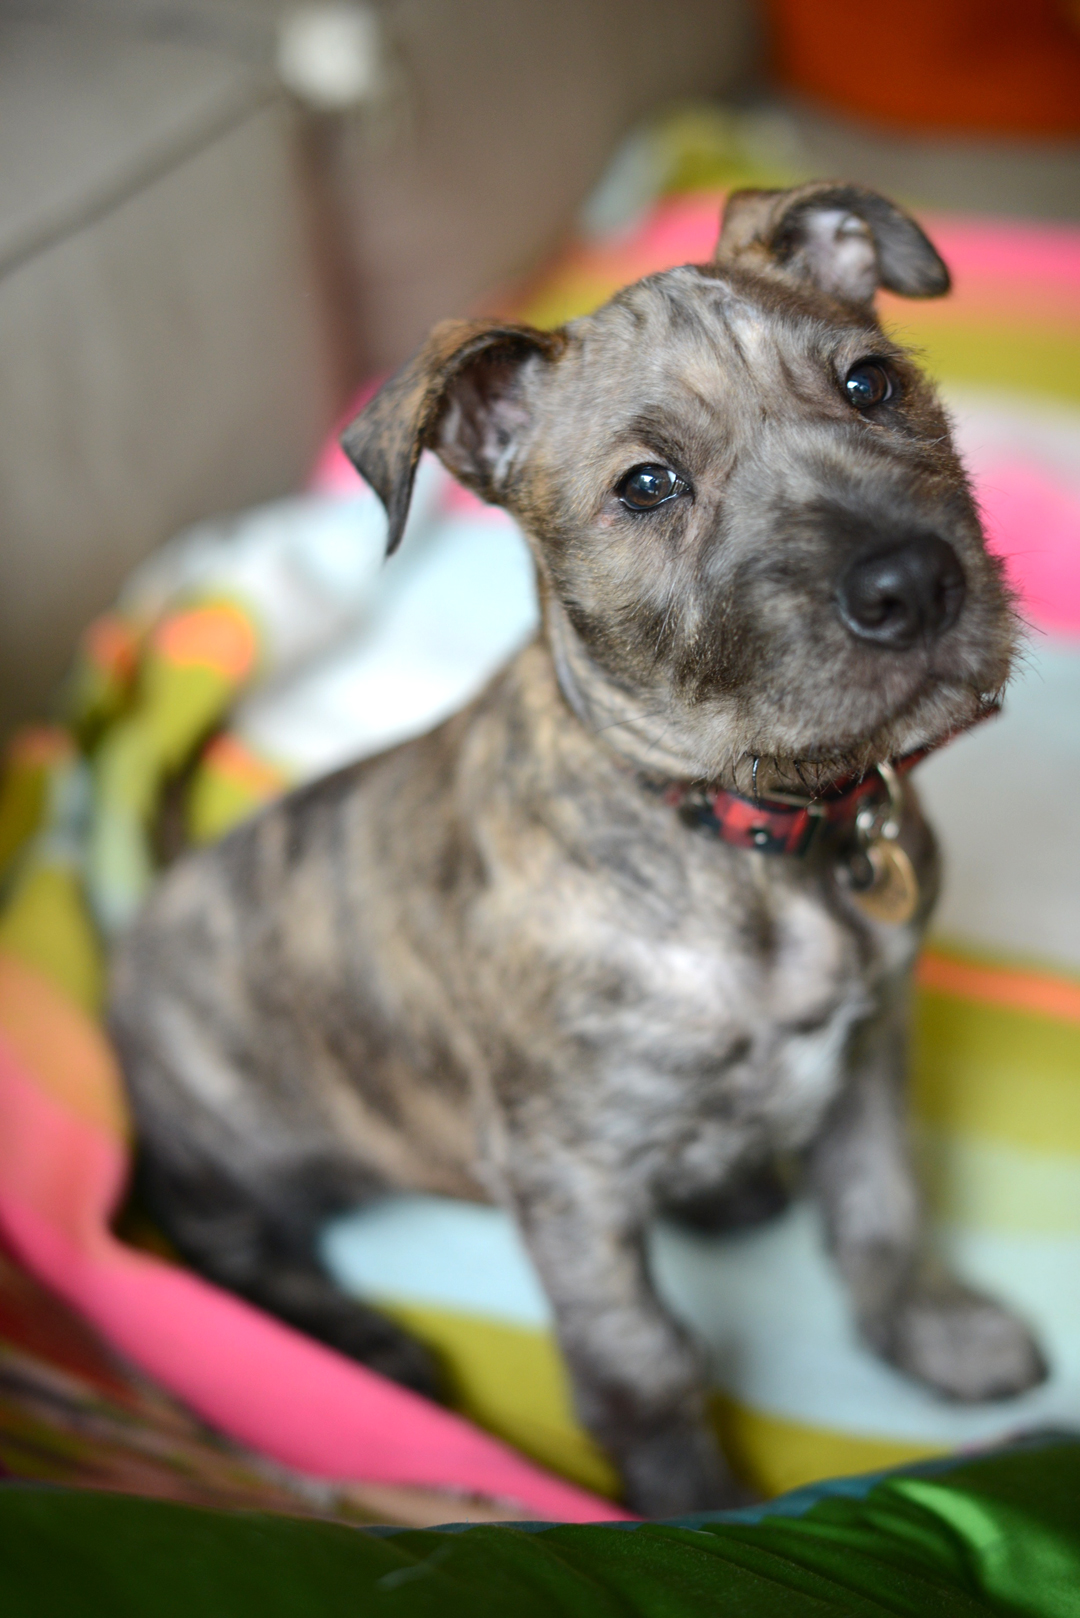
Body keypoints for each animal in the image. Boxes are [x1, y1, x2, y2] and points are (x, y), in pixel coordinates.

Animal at [110, 189, 1049, 1514]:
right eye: (647, 485)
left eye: (870, 384)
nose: (913, 582)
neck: (750, 838)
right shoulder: (570, 1174)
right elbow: (643, 1361)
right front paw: (693, 1509)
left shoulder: (870, 1053)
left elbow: (880, 1215)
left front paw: (938, 1341)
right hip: (220, 1146)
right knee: (225, 1247)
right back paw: (370, 1343)